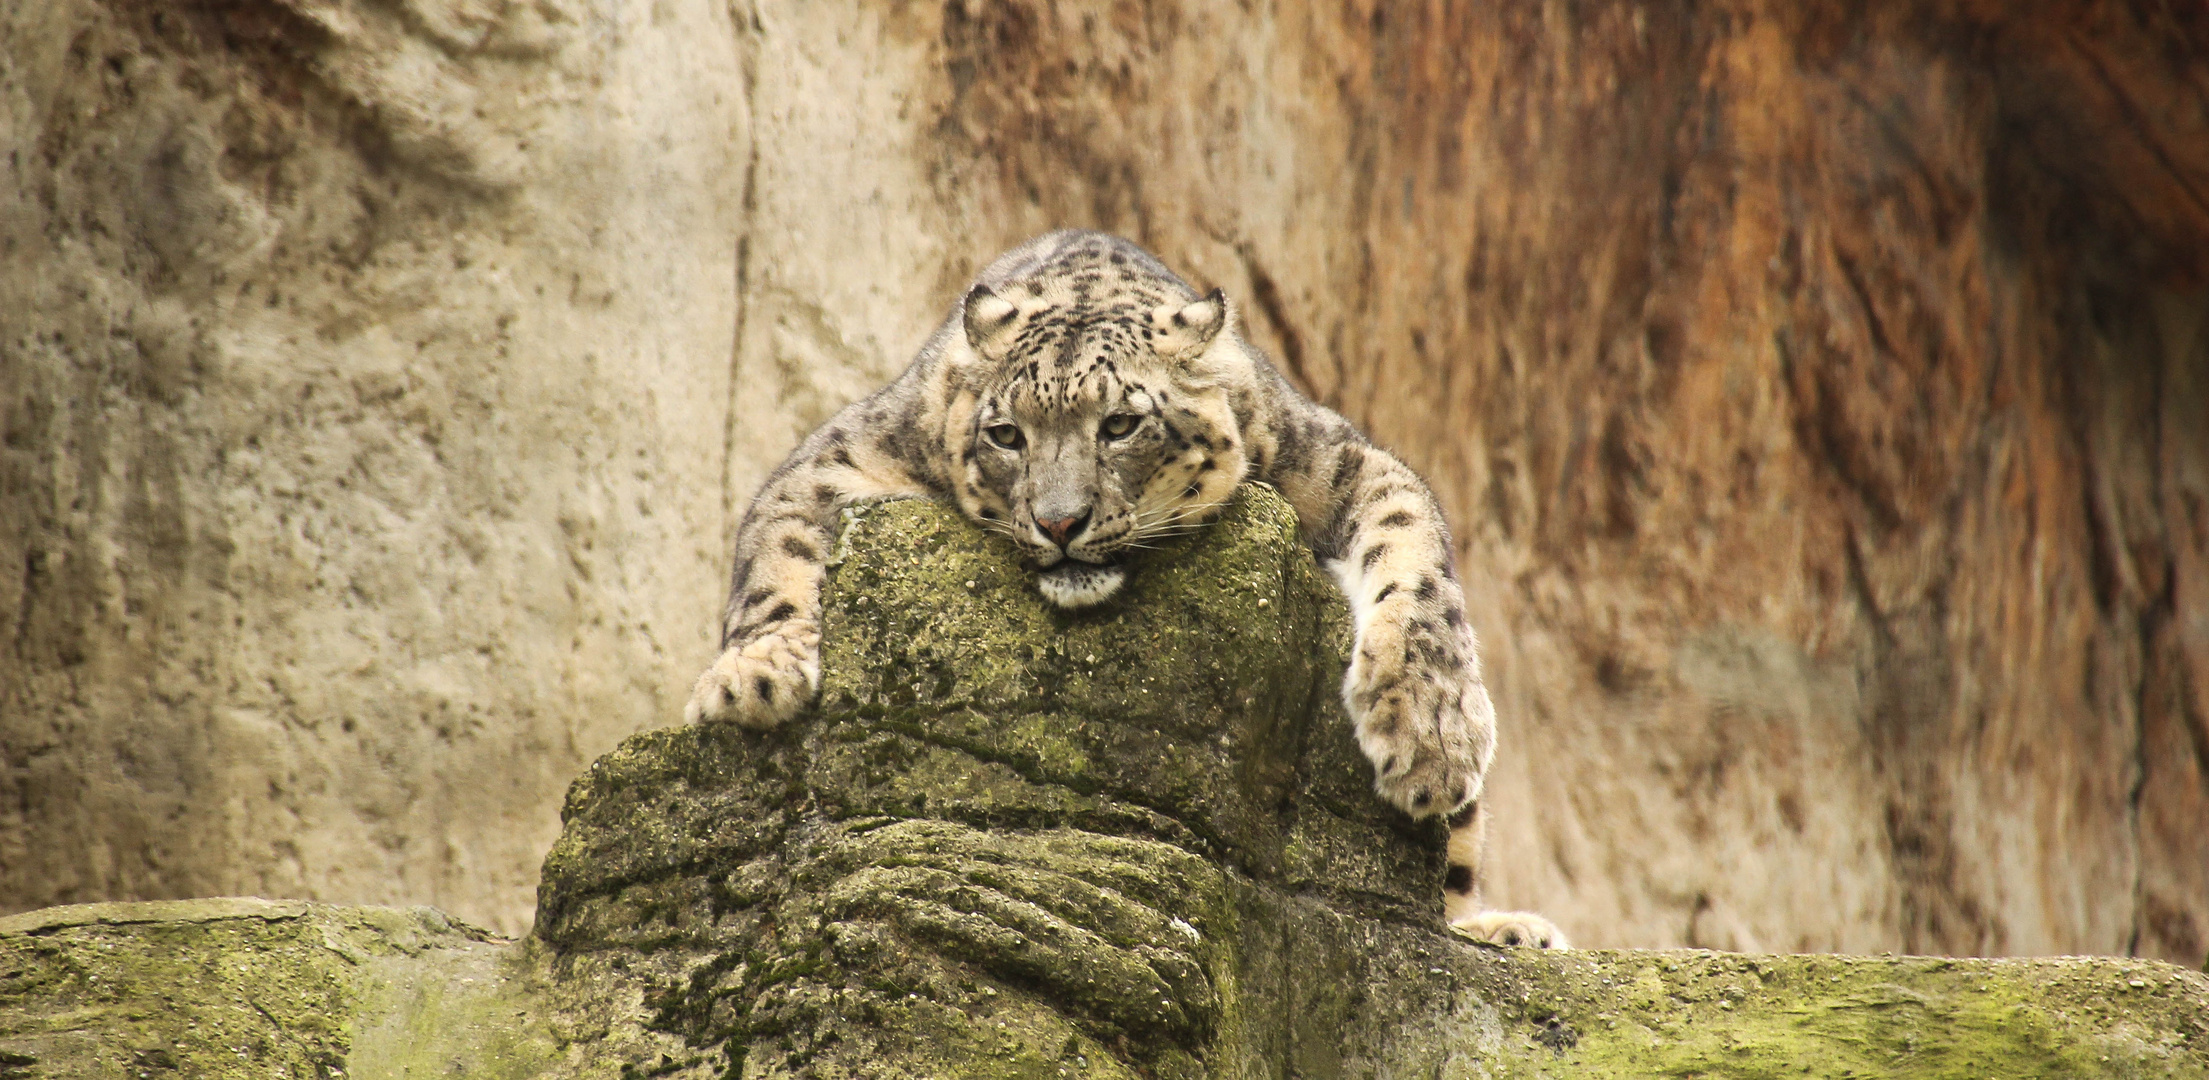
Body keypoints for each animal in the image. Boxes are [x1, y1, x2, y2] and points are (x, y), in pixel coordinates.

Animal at [680, 227, 1563, 945]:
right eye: (1006, 434)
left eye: (1121, 424)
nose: (1059, 522)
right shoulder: (842, 453)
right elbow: (776, 544)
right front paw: (755, 675)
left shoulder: (1334, 458)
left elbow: (1411, 539)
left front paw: (1428, 731)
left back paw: (1505, 929)